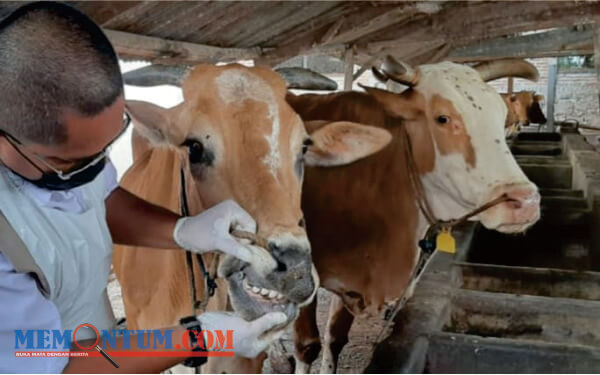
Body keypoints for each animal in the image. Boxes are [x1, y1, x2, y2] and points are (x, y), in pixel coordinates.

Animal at [284, 56, 540, 374]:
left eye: (500, 114)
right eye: (442, 118)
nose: (525, 201)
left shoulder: (351, 283)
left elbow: (335, 338)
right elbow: (307, 346)